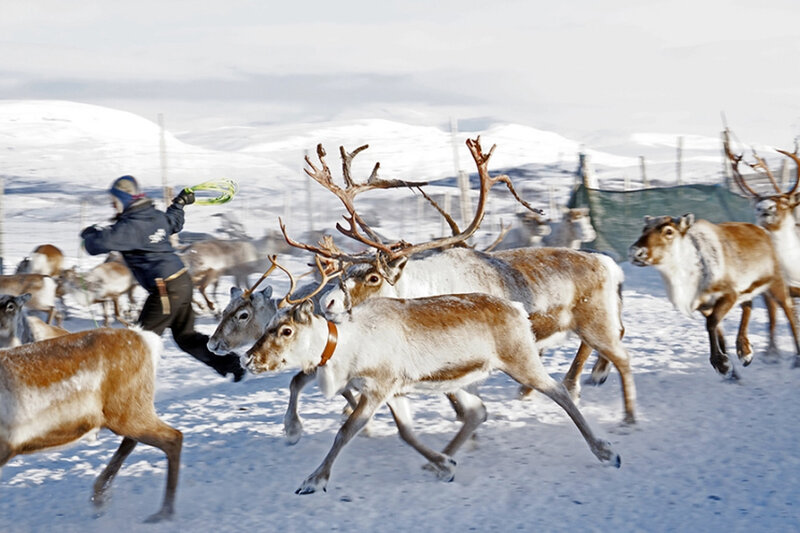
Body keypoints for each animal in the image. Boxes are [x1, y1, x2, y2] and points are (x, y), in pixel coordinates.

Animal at [0, 327, 182, 523]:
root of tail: (143, 338)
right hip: (129, 412)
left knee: (173, 437)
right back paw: (101, 494)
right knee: (135, 440)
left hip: (127, 411)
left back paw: (164, 512)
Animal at [244, 257, 621, 495]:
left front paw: (314, 480)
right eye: (270, 324)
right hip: (466, 378)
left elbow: (345, 432)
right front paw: (444, 465)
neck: (347, 342)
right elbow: (407, 433)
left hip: (521, 361)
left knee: (559, 391)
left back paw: (606, 451)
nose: (248, 359)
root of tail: (517, 310)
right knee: (477, 411)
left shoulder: (379, 388)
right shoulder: (394, 392)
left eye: (287, 330)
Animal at [301, 139, 635, 425]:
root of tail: (607, 263)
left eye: (372, 277)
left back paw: (614, 404)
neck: (421, 288)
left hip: (594, 318)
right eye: (346, 273)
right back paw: (570, 383)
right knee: (599, 343)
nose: (326, 302)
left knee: (612, 349)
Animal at [628, 213, 800, 375]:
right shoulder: (703, 305)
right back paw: (745, 351)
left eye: (668, 231)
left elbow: (711, 324)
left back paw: (795, 357)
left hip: (775, 282)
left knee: (788, 310)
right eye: (644, 229)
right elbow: (717, 330)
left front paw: (721, 363)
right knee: (750, 306)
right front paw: (728, 366)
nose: (636, 252)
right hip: (749, 290)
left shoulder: (729, 294)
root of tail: (763, 231)